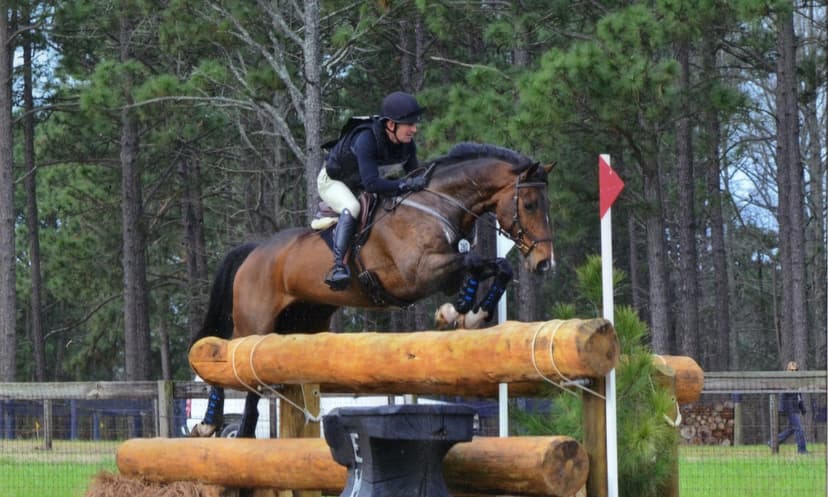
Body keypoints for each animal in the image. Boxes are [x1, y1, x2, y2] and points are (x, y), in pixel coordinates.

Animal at [189, 142, 556, 438]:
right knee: (228, 361)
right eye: (530, 205)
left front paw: (469, 313)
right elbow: (475, 262)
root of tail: (254, 250)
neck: (437, 205)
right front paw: (459, 311)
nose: (544, 263)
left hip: (303, 322)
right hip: (255, 323)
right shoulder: (416, 274)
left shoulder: (446, 271)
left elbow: (493, 266)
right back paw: (217, 424)